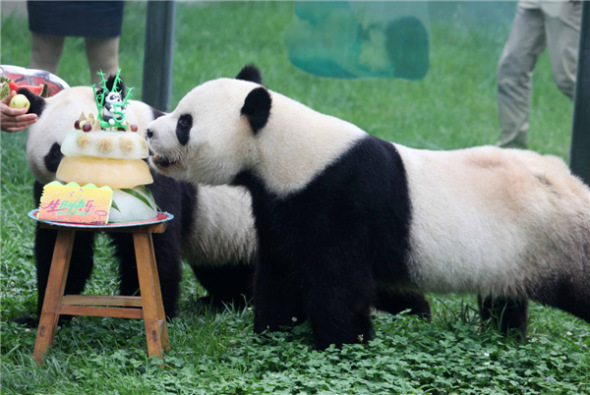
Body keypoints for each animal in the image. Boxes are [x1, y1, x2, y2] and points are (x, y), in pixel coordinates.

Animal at [16, 82, 256, 326]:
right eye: (55, 152)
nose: (76, 186)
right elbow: (67, 251)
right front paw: (42, 318)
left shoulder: (154, 176)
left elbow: (153, 251)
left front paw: (150, 312)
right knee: (221, 272)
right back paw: (221, 300)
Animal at [145, 66, 590, 352]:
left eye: (184, 122)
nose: (149, 130)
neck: (284, 151)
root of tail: (573, 181)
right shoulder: (280, 204)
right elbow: (280, 272)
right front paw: (274, 333)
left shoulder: (337, 197)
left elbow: (337, 283)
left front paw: (341, 344)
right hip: (512, 255)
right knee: (504, 299)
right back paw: (505, 337)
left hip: (558, 240)